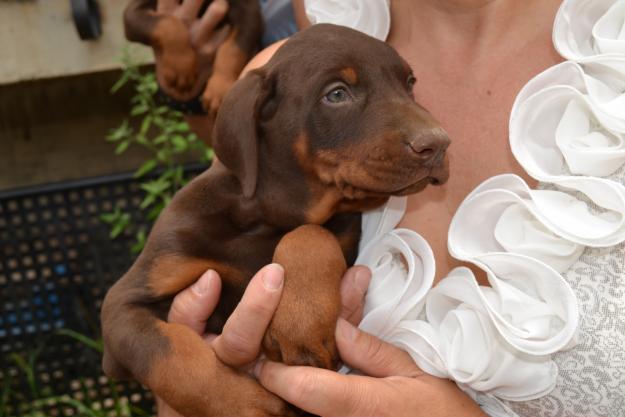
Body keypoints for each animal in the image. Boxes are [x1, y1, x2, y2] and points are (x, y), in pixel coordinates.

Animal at [100, 25, 450, 416]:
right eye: (337, 94)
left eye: (409, 83)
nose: (438, 144)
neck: (268, 218)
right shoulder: (124, 305)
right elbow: (173, 356)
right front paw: (247, 406)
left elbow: (310, 233)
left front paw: (300, 322)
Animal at [123, 0, 262, 114]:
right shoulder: (134, 12)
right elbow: (167, 22)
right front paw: (180, 66)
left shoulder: (248, 10)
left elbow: (233, 49)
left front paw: (219, 88)